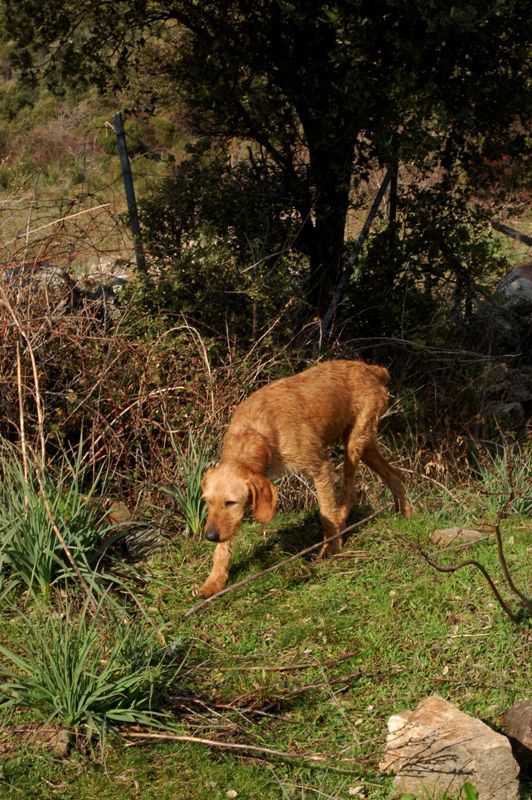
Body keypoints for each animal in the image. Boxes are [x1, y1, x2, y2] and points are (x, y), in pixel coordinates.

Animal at [200, 360, 412, 596]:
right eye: (208, 502)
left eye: (230, 502)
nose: (209, 536)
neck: (256, 431)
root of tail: (369, 368)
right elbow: (223, 547)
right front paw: (214, 581)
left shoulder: (320, 468)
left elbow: (325, 514)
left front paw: (330, 549)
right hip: (366, 446)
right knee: (394, 475)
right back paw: (407, 515)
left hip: (354, 445)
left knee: (348, 492)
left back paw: (340, 526)